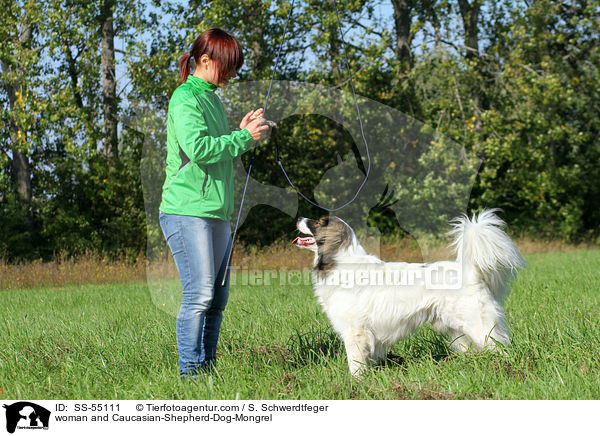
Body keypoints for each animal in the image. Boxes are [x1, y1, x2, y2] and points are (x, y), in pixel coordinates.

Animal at [292, 209, 524, 376]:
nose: (299, 217)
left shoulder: (355, 333)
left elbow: (355, 365)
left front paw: (355, 384)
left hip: (479, 327)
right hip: (458, 333)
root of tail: (469, 272)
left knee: (500, 349)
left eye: (319, 222)